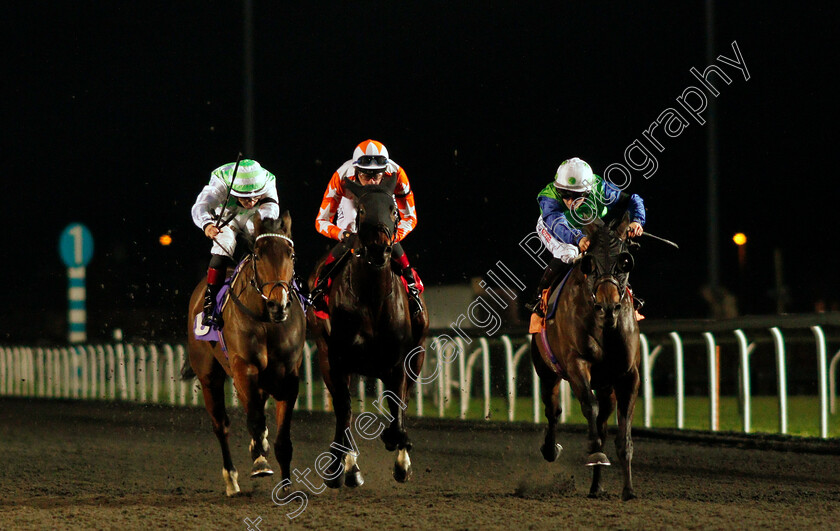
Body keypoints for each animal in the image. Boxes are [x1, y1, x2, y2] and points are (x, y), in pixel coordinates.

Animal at [187, 212, 306, 498]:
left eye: (291, 254)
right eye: (258, 255)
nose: (278, 304)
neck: (266, 321)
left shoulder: (288, 376)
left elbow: (282, 437)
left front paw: (286, 485)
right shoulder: (244, 368)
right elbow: (254, 419)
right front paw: (260, 461)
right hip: (209, 376)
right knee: (221, 424)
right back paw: (231, 479)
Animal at [306, 176, 430, 490]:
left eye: (393, 210)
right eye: (361, 210)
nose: (377, 249)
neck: (372, 297)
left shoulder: (400, 361)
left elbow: (398, 408)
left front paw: (399, 450)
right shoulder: (335, 360)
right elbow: (344, 410)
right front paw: (338, 467)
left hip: (417, 356)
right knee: (346, 410)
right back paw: (349, 467)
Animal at [532, 214, 644, 500]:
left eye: (624, 261)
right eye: (590, 263)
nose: (608, 306)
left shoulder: (628, 375)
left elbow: (623, 432)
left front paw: (628, 489)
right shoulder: (576, 365)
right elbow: (588, 407)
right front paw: (594, 452)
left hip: (606, 386)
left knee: (603, 419)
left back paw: (596, 487)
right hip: (546, 371)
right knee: (553, 411)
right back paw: (550, 449)